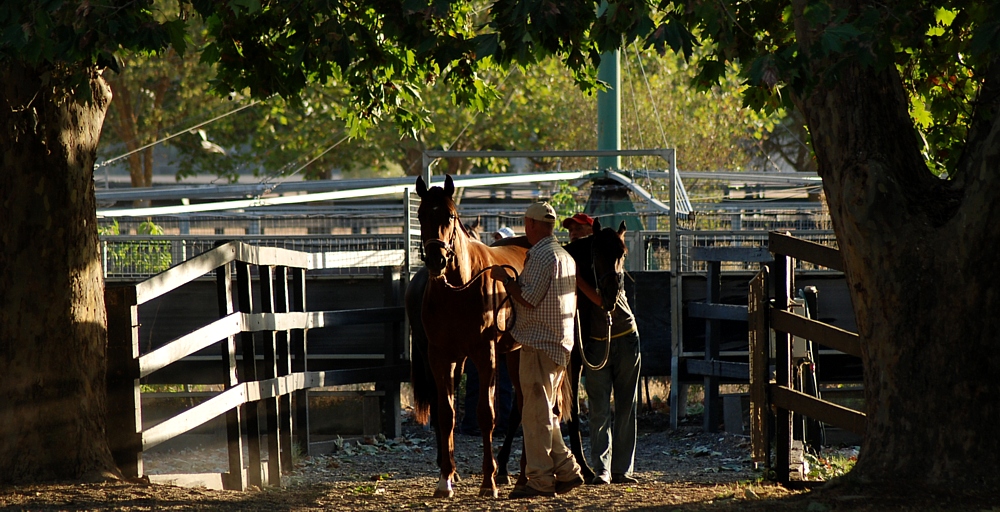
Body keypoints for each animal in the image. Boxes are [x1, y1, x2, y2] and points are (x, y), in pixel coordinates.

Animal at [406, 175, 532, 496]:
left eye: (450, 215)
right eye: (421, 215)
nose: (436, 260)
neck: (459, 287)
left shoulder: (484, 354)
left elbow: (486, 414)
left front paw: (489, 481)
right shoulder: (440, 357)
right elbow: (445, 413)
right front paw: (445, 479)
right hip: (513, 354)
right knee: (524, 404)